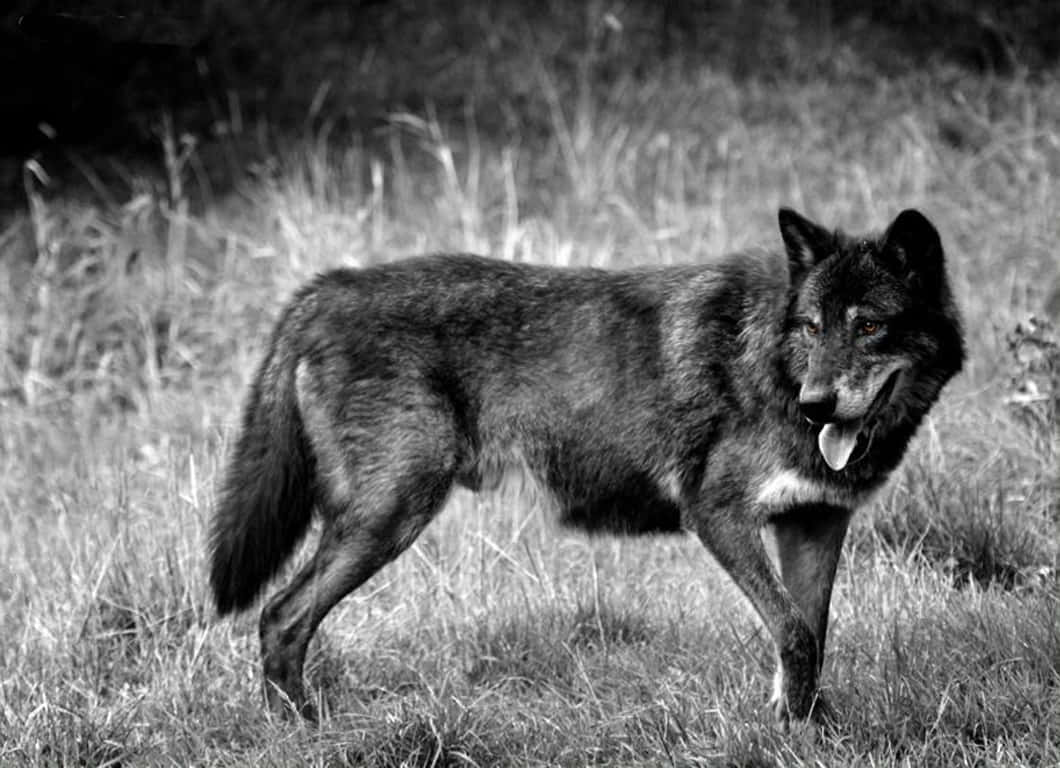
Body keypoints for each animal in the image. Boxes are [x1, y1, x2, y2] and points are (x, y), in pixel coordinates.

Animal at [204, 206, 962, 720]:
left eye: (869, 327)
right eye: (811, 327)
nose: (816, 406)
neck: (773, 365)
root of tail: (328, 286)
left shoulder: (814, 523)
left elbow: (811, 635)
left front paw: (805, 731)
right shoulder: (717, 516)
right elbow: (794, 633)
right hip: (389, 517)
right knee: (280, 616)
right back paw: (303, 729)